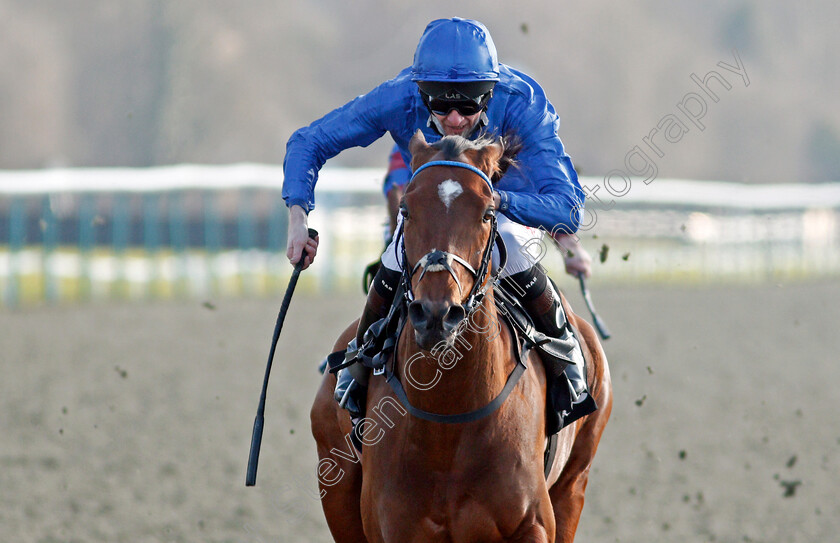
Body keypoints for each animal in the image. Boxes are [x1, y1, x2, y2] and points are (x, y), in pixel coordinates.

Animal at [308, 133, 612, 543]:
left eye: (487, 213)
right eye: (406, 209)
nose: (437, 313)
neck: (448, 422)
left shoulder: (533, 524)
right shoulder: (388, 526)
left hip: (574, 483)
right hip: (336, 487)